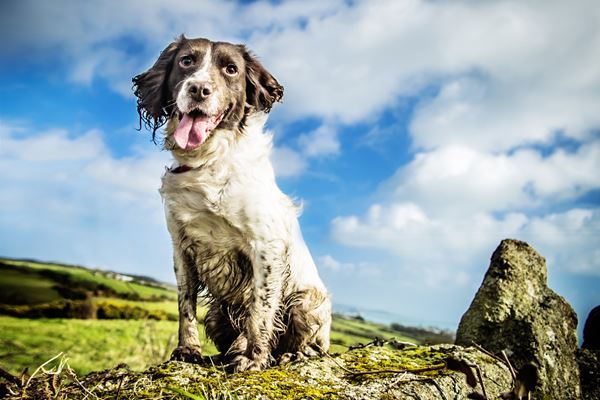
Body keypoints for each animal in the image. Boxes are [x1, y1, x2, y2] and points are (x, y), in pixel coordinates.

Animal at [131, 36, 332, 370]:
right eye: (186, 61)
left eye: (231, 69)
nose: (199, 89)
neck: (209, 162)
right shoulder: (181, 246)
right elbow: (185, 305)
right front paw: (188, 350)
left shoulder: (265, 247)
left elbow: (259, 313)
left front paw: (253, 359)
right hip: (217, 315)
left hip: (306, 302)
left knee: (313, 346)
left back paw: (290, 354)